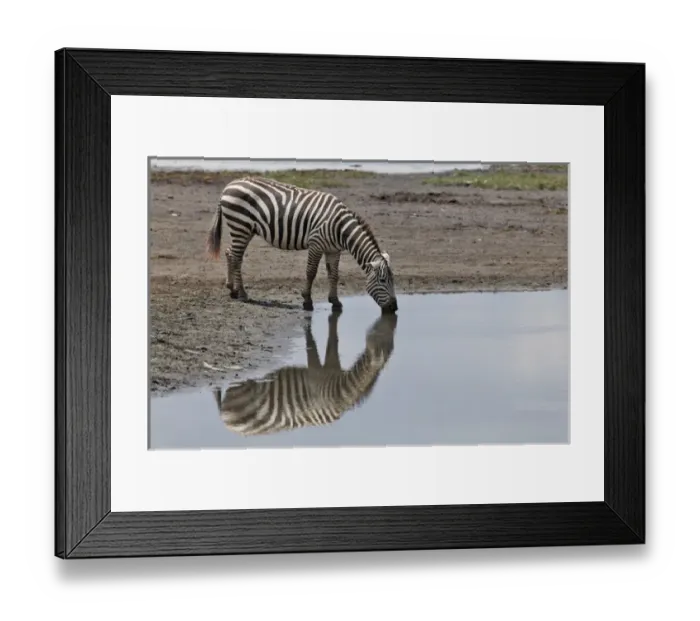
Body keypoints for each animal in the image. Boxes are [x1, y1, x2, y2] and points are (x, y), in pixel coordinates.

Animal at [205, 176, 398, 314]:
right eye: (383, 280)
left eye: (393, 280)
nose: (394, 308)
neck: (341, 228)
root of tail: (229, 185)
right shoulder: (316, 243)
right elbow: (311, 272)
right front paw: (307, 300)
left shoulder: (334, 250)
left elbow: (334, 275)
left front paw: (335, 302)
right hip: (241, 225)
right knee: (237, 258)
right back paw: (243, 294)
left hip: (245, 229)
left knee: (230, 253)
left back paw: (232, 289)